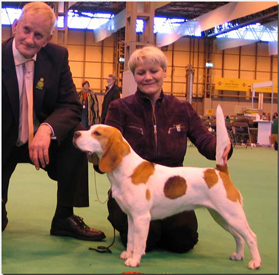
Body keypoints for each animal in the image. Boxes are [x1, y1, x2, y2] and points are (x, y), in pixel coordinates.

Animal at [73, 106, 262, 270]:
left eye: (97, 133)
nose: (75, 133)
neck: (126, 169)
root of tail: (219, 171)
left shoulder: (142, 217)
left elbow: (140, 241)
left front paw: (134, 260)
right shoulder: (131, 217)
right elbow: (132, 239)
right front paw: (128, 253)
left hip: (232, 214)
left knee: (251, 236)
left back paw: (255, 262)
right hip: (221, 216)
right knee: (239, 236)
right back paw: (238, 255)